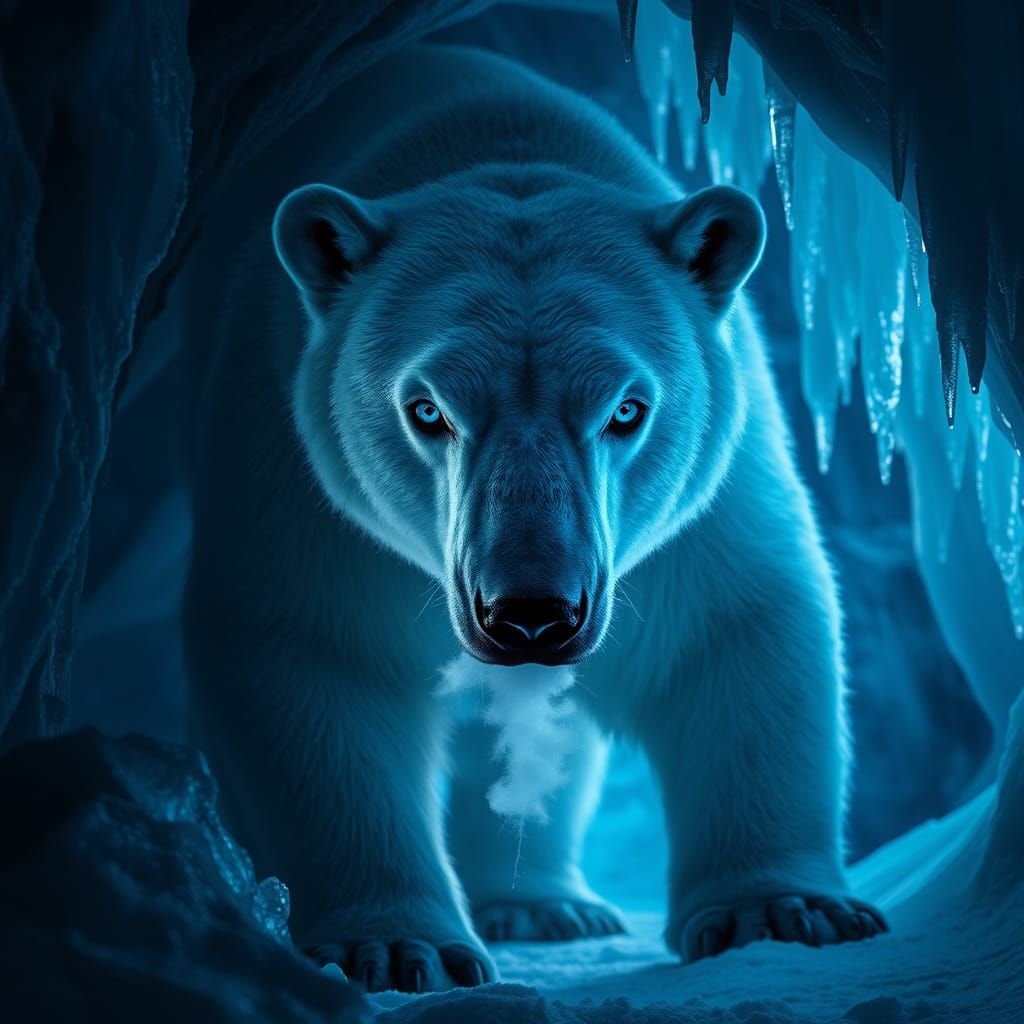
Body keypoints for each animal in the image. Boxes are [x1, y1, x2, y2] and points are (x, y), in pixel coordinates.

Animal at [182, 43, 887, 993]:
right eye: (427, 410)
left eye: (626, 409)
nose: (529, 614)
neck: (498, 139)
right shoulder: (297, 472)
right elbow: (315, 652)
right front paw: (395, 947)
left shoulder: (700, 492)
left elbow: (729, 630)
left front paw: (786, 911)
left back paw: (544, 904)